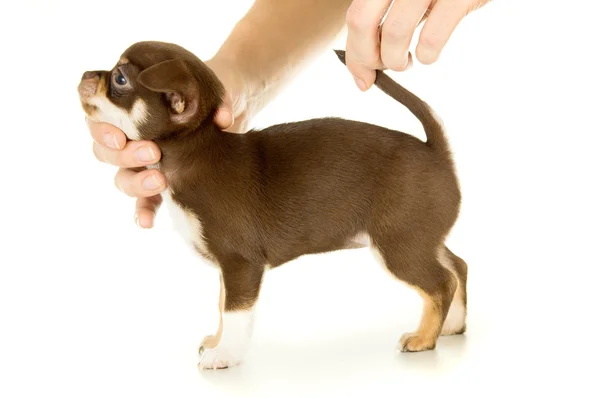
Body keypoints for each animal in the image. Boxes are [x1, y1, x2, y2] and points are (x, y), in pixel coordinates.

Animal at [76, 41, 468, 370]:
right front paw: (216, 341)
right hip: (421, 239)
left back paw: (423, 338)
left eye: (120, 78)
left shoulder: (240, 263)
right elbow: (221, 306)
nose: (85, 74)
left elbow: (234, 312)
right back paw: (452, 324)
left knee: (440, 283)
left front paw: (225, 355)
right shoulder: (227, 268)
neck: (193, 154)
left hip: (398, 246)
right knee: (457, 266)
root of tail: (436, 150)